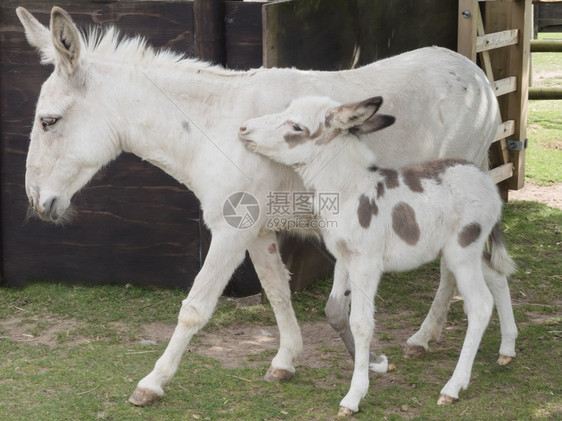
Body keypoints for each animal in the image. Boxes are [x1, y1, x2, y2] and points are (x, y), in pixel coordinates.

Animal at [237, 97, 516, 416]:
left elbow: (361, 322)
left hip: (462, 251)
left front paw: (354, 396)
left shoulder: (366, 264)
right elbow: (334, 310)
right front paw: (375, 363)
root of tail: (486, 180)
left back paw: (453, 388)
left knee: (480, 305)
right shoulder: (344, 258)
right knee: (497, 275)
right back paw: (507, 349)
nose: (243, 129)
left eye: (296, 126)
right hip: (464, 250)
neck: (350, 190)